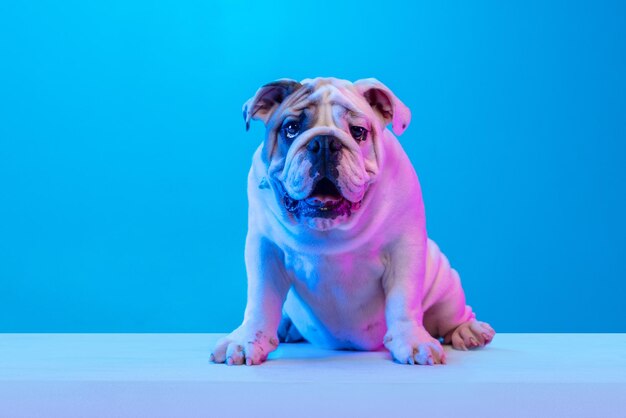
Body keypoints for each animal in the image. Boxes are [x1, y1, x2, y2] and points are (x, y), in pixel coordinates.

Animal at [210, 76, 492, 364]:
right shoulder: (265, 249)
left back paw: (468, 330)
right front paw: (247, 341)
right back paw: (285, 326)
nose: (324, 143)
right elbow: (260, 300)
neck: (330, 230)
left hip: (446, 285)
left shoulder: (405, 250)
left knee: (451, 314)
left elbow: (404, 300)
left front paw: (413, 341)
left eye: (358, 132)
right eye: (291, 128)